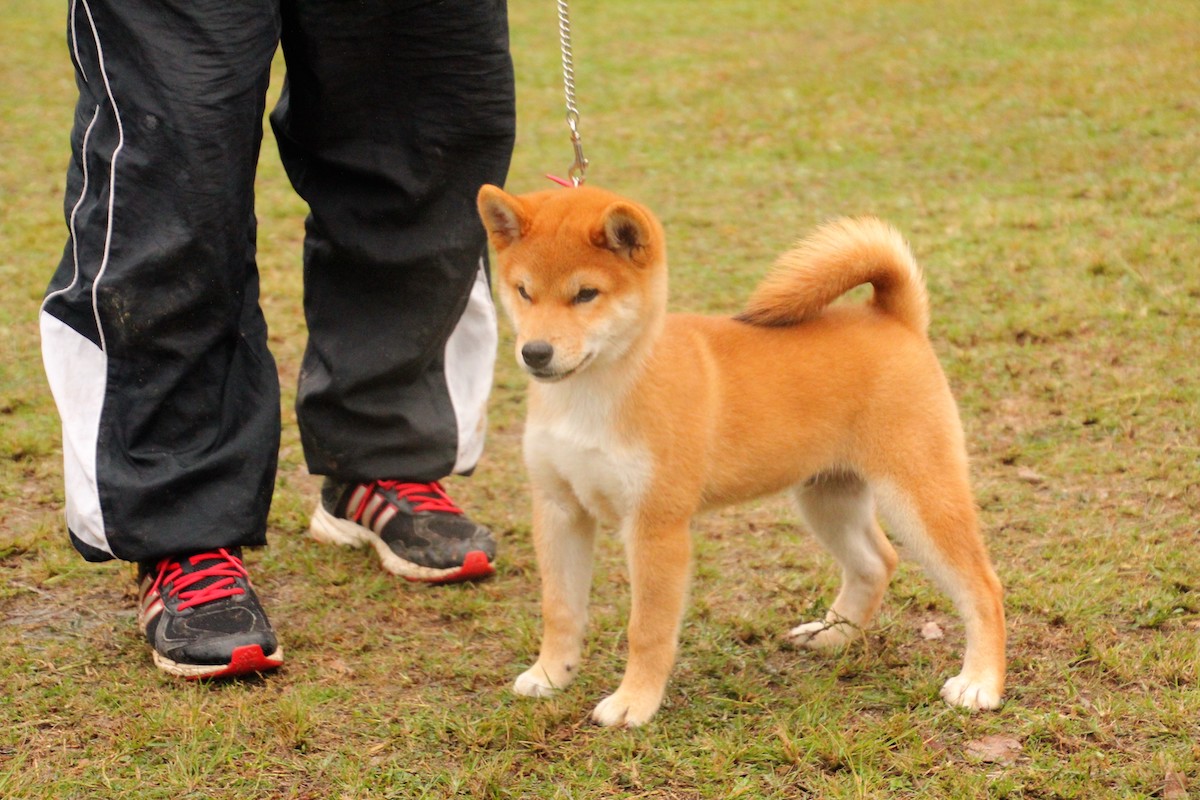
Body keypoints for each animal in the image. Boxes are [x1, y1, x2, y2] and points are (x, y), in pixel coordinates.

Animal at [475, 184, 1003, 729]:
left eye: (585, 294)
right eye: (523, 290)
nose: (535, 353)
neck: (593, 396)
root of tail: (893, 318)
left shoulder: (655, 526)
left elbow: (647, 629)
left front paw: (633, 701)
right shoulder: (560, 509)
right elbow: (560, 609)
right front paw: (550, 674)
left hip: (919, 495)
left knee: (983, 587)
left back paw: (980, 683)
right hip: (828, 497)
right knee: (876, 562)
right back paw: (832, 635)